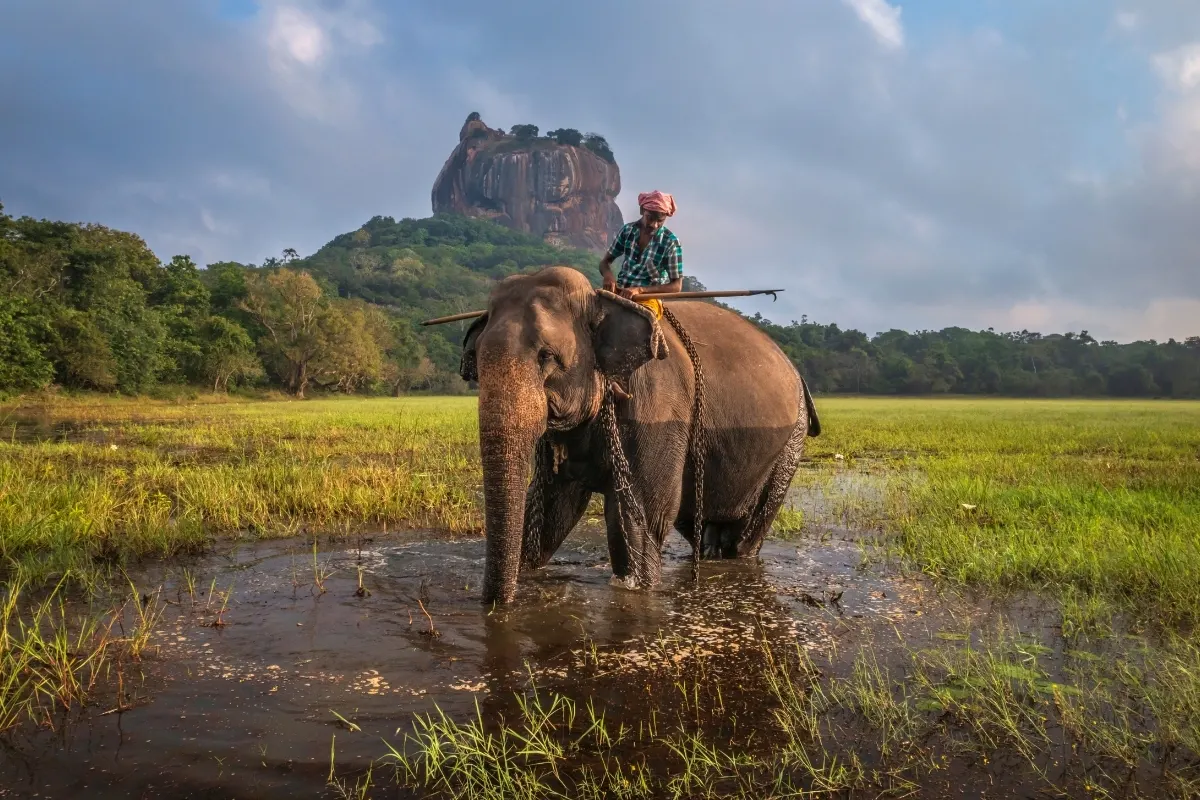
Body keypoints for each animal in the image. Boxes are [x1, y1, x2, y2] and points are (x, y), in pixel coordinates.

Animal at [460, 266, 821, 605]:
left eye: (546, 356)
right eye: (476, 358)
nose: (496, 605)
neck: (599, 302)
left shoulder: (657, 408)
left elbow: (638, 520)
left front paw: (636, 588)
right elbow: (553, 510)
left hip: (790, 443)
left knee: (744, 535)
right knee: (702, 525)